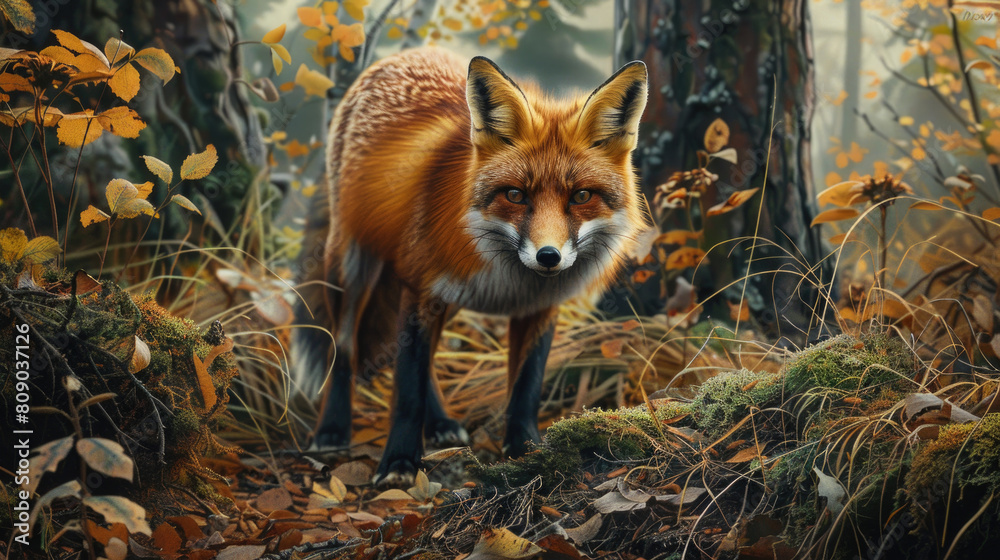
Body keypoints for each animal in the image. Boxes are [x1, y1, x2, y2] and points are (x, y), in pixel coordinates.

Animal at [292, 46, 648, 484]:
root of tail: (407, 53)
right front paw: (400, 460)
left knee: (421, 357)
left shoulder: (538, 308)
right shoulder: (420, 289)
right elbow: (407, 388)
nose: (548, 256)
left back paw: (440, 423)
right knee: (344, 344)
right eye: (515, 195)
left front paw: (526, 450)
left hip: (442, 298)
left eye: (581, 196)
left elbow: (526, 386)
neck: (510, 282)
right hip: (353, 264)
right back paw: (332, 429)